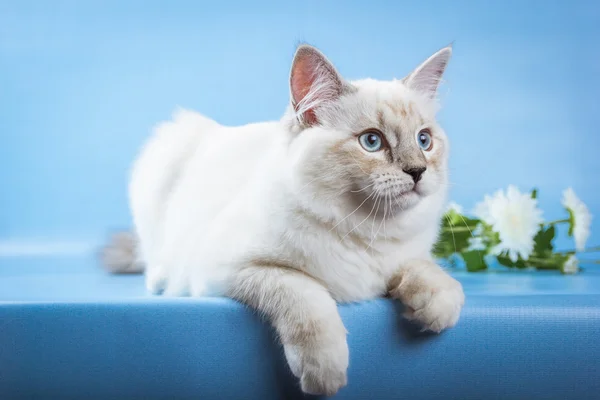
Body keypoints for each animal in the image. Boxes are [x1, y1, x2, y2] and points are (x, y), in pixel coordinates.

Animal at [102, 44, 464, 396]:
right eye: (372, 141)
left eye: (424, 140)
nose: (418, 171)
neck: (366, 229)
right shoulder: (234, 271)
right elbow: (306, 295)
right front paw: (325, 374)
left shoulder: (406, 254)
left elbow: (428, 271)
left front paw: (436, 308)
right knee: (151, 256)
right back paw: (158, 279)